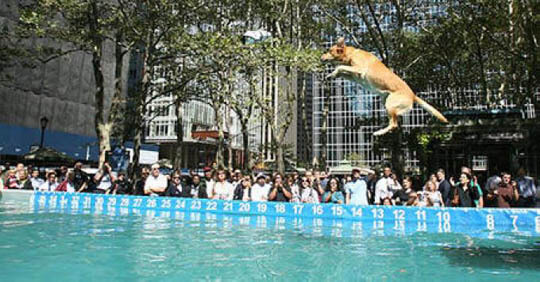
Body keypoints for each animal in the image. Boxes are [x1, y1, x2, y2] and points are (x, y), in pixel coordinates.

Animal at [320, 37, 448, 135]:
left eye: (329, 50)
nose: (321, 57)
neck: (351, 54)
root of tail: (413, 95)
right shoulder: (354, 76)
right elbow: (341, 71)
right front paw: (331, 75)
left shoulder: (359, 69)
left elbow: (339, 67)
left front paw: (333, 72)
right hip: (385, 102)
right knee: (394, 122)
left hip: (390, 104)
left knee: (394, 124)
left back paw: (379, 132)